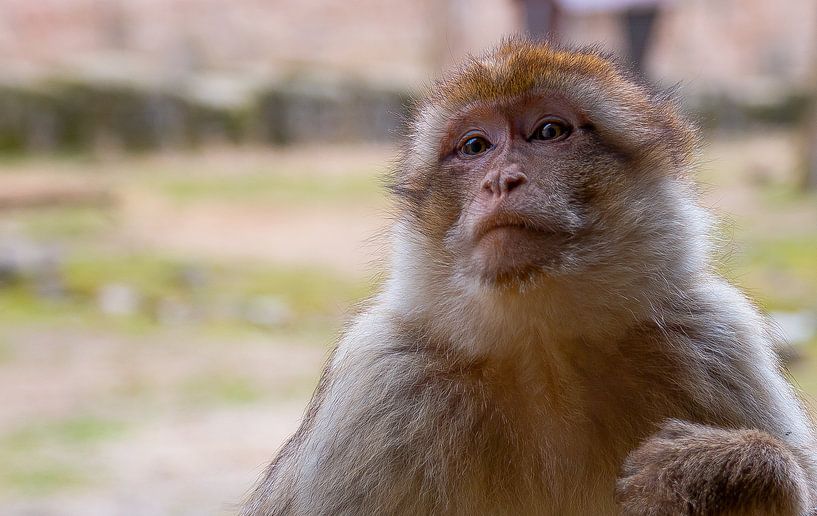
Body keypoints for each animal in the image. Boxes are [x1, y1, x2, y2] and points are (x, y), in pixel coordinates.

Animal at [241, 38, 817, 515]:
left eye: (549, 132)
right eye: (475, 147)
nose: (501, 180)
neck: (543, 350)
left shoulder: (715, 338)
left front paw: (723, 471)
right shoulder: (379, 386)